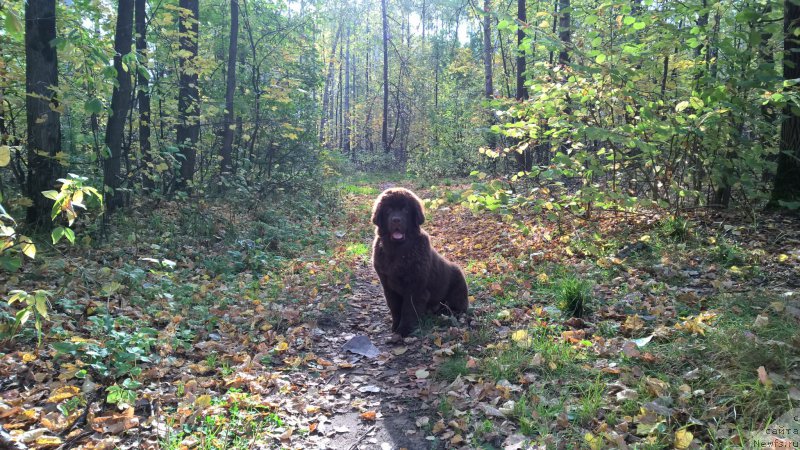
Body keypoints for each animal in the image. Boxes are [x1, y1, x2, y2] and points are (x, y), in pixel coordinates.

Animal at [370, 185, 468, 338]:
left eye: (405, 209)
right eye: (388, 210)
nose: (396, 220)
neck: (397, 251)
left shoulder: (415, 287)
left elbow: (408, 309)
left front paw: (404, 330)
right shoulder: (388, 285)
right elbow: (395, 307)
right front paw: (395, 327)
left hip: (457, 286)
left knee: (458, 307)